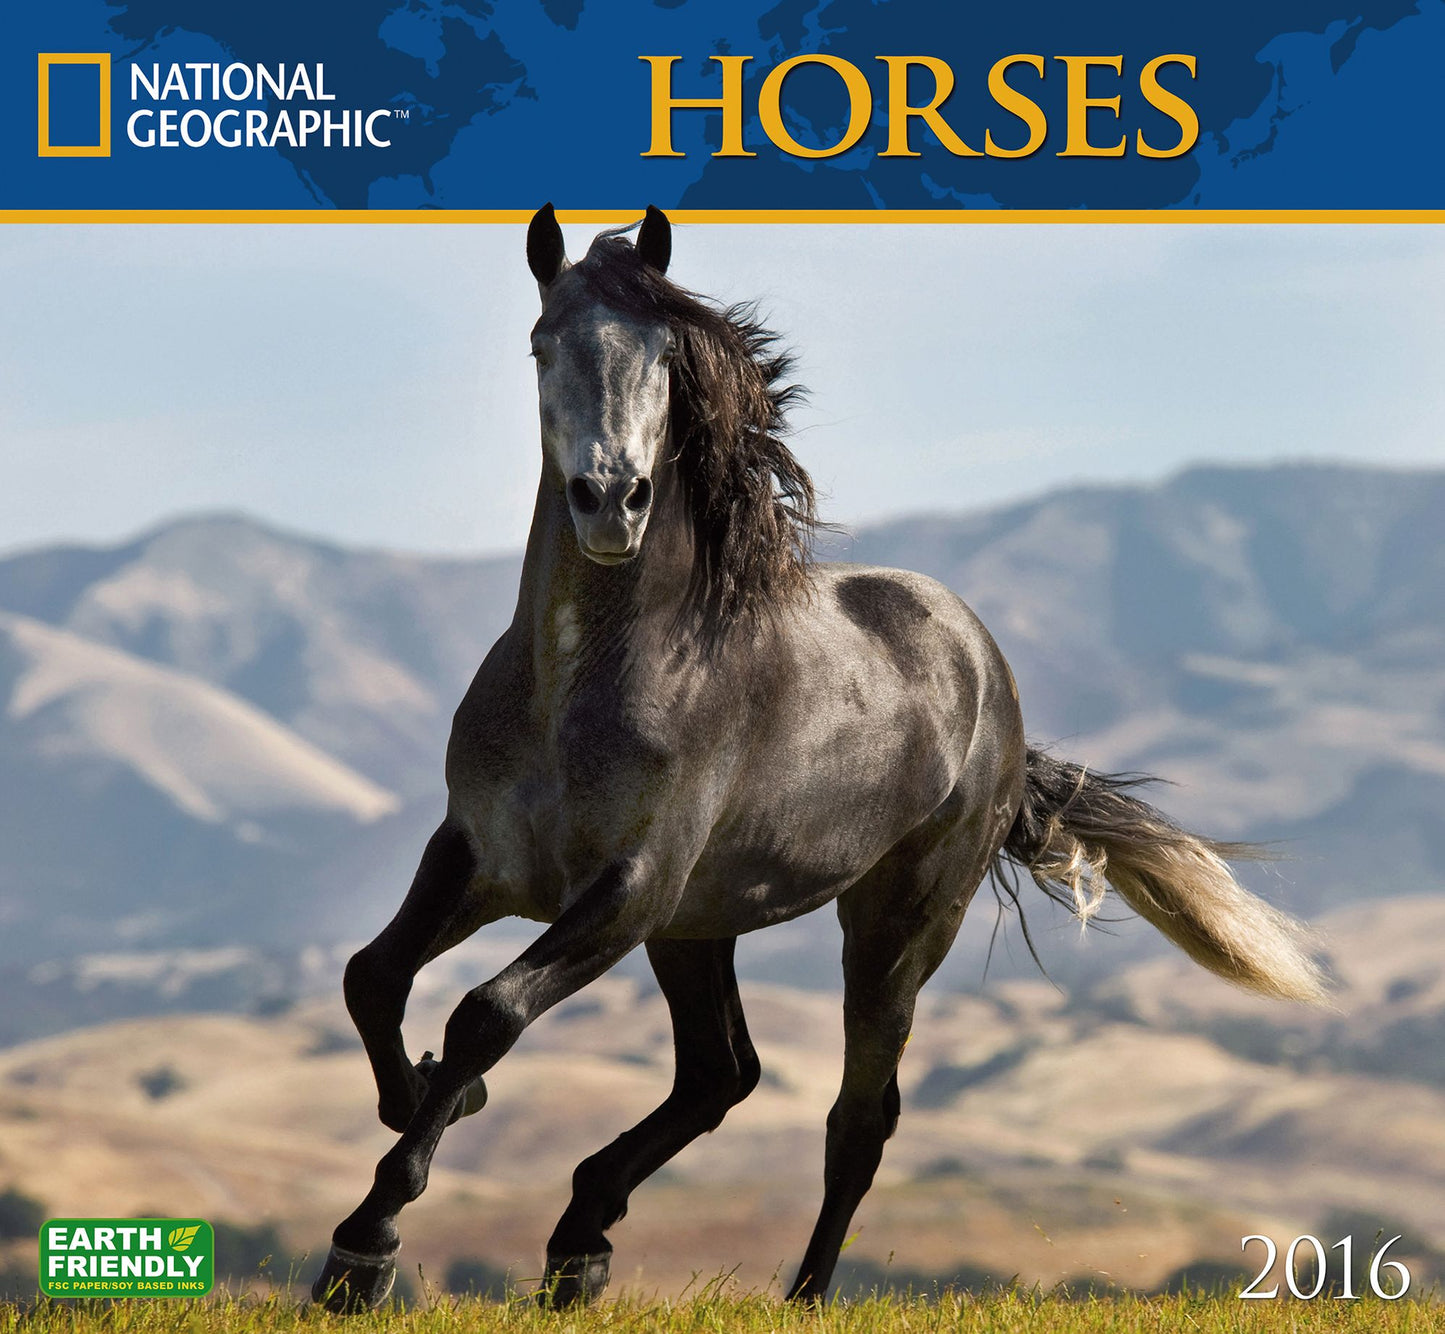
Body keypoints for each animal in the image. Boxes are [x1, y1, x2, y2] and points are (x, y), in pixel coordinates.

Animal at [311, 205, 1328, 1312]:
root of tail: (989, 672)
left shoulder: (625, 890)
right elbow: (374, 977)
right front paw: (427, 1103)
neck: (579, 685)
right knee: (720, 1072)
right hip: (699, 923)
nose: (611, 499)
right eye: (544, 345)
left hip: (891, 923)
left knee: (856, 1117)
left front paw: (365, 1242)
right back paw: (580, 1243)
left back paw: (793, 1290)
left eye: (664, 354)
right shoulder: (478, 856)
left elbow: (486, 1011)